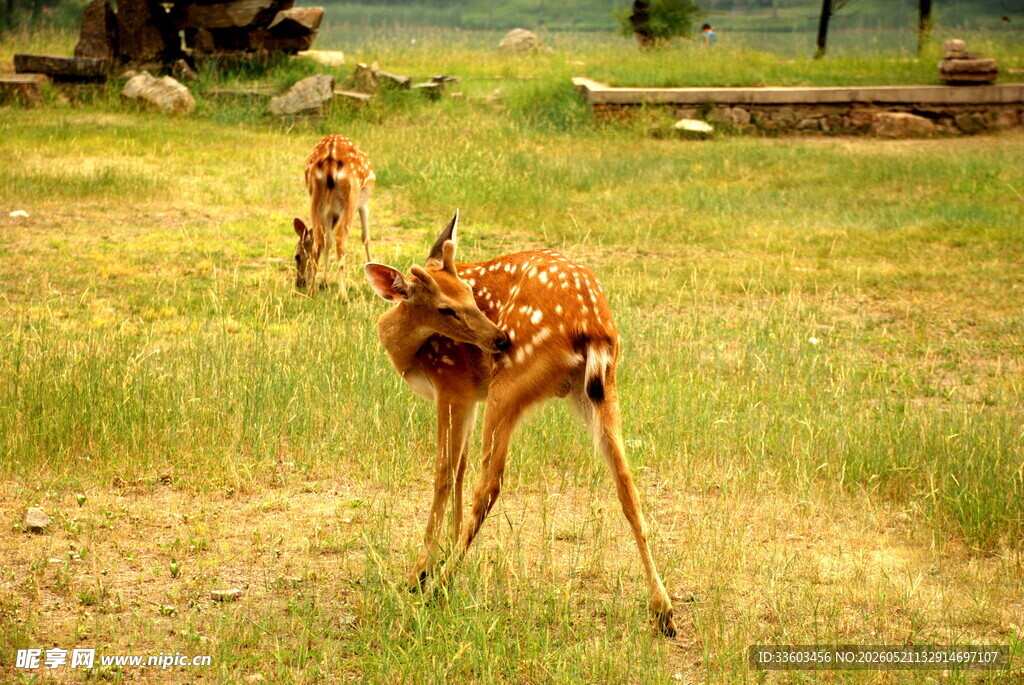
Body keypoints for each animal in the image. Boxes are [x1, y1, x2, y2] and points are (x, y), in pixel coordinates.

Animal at [293, 134, 375, 293]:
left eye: (297, 256)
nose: (299, 282)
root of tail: (330, 156)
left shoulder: (330, 212)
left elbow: (328, 241)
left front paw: (323, 283)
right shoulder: (363, 203)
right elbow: (365, 237)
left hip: (315, 196)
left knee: (319, 240)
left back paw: (312, 290)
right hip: (352, 196)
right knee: (340, 239)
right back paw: (343, 294)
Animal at [365, 212, 677, 637]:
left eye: (469, 295)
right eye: (446, 306)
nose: (496, 338)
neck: (404, 348)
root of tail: (592, 325)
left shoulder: (453, 385)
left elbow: (444, 473)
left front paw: (420, 572)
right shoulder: (469, 396)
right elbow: (459, 470)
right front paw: (444, 554)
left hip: (510, 381)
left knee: (490, 484)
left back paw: (439, 586)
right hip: (598, 390)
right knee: (627, 485)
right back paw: (663, 611)